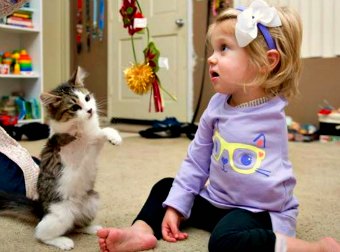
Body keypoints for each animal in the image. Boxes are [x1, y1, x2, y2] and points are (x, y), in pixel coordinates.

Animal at [0, 66, 121, 249]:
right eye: (74, 107)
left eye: (87, 98)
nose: (90, 110)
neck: (82, 128)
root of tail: (41, 209)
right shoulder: (68, 146)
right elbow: (83, 138)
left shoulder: (93, 144)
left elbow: (101, 132)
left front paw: (115, 137)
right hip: (60, 215)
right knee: (41, 234)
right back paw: (63, 242)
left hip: (92, 201)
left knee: (77, 225)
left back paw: (92, 228)